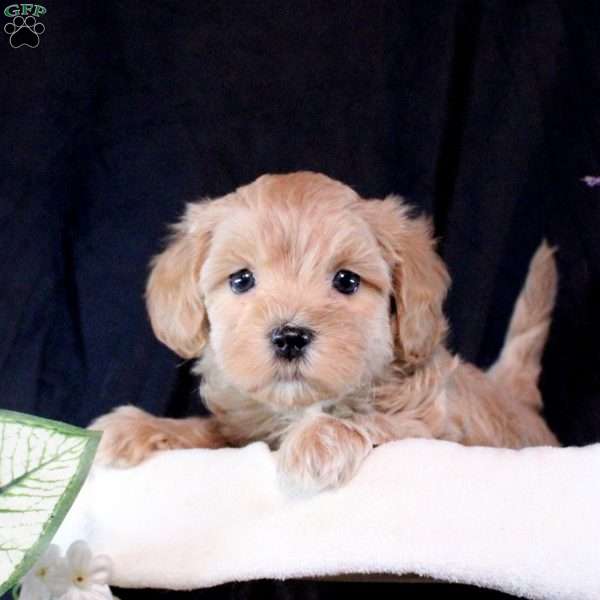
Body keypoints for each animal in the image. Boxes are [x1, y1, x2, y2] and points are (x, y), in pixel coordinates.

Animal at [91, 171, 560, 490]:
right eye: (241, 280)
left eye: (347, 281)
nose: (289, 337)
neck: (298, 408)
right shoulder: (242, 433)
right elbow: (211, 431)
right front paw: (139, 428)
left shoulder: (437, 431)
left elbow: (379, 421)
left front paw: (319, 438)